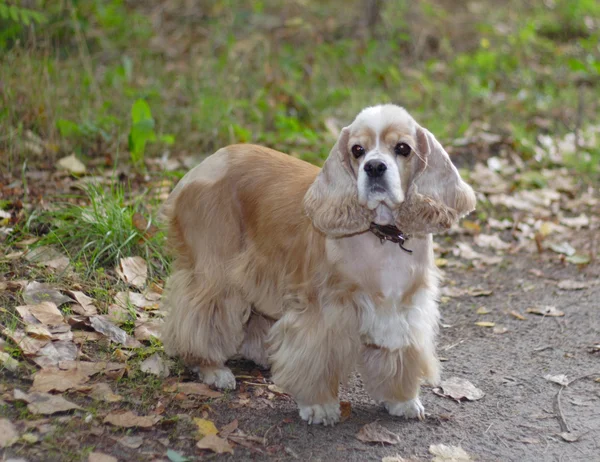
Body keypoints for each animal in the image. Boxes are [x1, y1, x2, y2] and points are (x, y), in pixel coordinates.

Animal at [162, 104, 476, 426]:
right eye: (357, 150)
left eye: (403, 148)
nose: (374, 167)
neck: (382, 235)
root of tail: (200, 167)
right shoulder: (323, 311)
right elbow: (317, 359)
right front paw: (319, 405)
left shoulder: (404, 306)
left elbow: (399, 356)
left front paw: (402, 399)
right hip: (216, 270)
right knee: (198, 317)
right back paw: (213, 369)